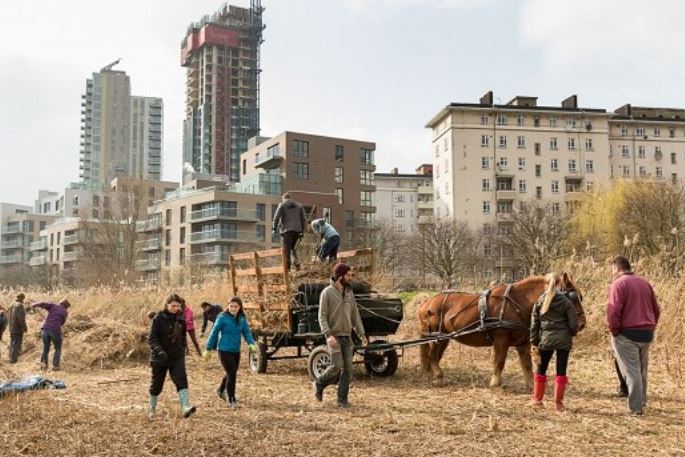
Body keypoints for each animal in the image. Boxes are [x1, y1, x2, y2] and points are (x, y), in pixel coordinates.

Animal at [414, 272, 584, 386]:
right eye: (573, 297)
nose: (582, 323)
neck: (516, 302)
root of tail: (426, 302)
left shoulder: (522, 343)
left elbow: (527, 364)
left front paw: (531, 385)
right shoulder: (501, 339)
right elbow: (499, 361)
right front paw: (495, 384)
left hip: (444, 338)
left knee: (434, 356)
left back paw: (432, 375)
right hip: (436, 337)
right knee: (432, 355)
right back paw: (438, 376)